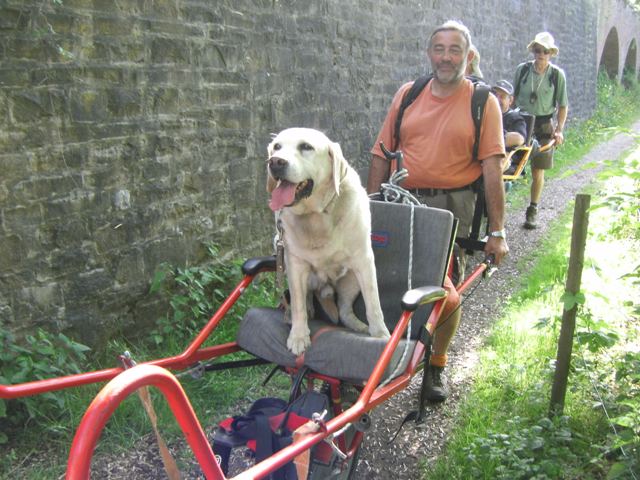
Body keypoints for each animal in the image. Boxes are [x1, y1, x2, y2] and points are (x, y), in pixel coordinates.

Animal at [266, 128, 390, 356]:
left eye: (306, 147)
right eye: (277, 147)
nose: (275, 162)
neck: (316, 215)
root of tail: (325, 289)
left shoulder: (364, 261)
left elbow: (373, 304)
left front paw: (380, 335)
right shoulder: (295, 264)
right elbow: (298, 305)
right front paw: (299, 336)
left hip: (351, 280)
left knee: (344, 311)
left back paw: (359, 326)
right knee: (304, 300)